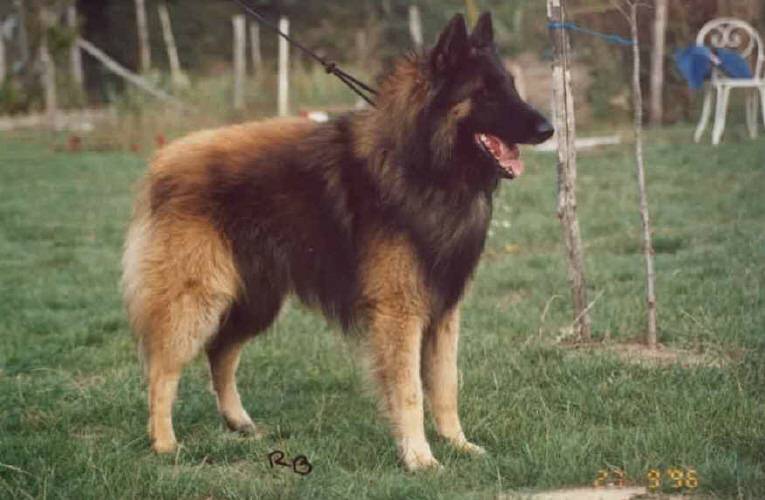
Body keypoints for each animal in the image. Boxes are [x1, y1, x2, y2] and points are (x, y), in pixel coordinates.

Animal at [122, 12, 553, 470]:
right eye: (484, 92)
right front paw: (419, 458)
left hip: (256, 302)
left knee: (220, 352)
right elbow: (410, 391)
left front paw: (458, 445)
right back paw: (164, 444)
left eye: (510, 85)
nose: (549, 129)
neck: (423, 165)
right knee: (162, 370)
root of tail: (160, 164)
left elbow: (445, 386)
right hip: (197, 301)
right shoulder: (399, 313)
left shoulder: (443, 311)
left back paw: (239, 422)